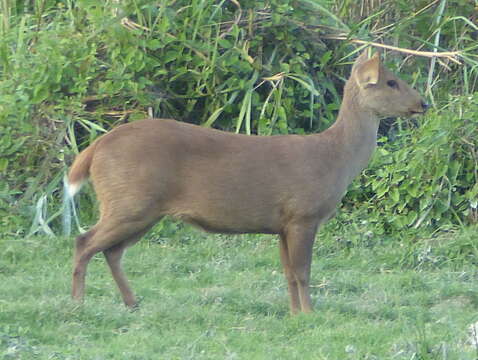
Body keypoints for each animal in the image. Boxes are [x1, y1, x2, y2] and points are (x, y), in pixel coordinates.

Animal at [68, 50, 430, 312]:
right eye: (392, 82)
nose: (423, 103)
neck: (335, 159)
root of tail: (95, 149)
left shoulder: (282, 223)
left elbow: (288, 273)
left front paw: (294, 314)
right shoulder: (303, 214)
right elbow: (303, 272)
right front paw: (311, 314)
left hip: (141, 208)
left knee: (111, 251)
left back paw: (132, 303)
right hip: (130, 201)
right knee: (84, 241)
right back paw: (78, 304)